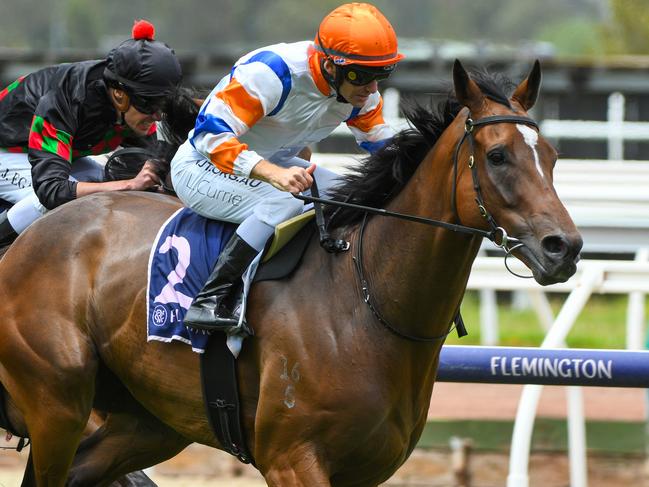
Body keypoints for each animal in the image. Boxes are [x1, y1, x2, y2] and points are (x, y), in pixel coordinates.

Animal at [0, 62, 580, 487]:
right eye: (498, 155)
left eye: (553, 156)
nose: (564, 247)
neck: (364, 302)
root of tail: (31, 239)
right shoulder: (292, 459)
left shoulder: (364, 471)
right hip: (57, 401)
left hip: (145, 421)